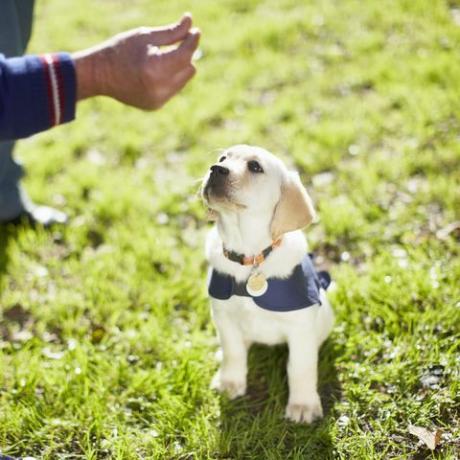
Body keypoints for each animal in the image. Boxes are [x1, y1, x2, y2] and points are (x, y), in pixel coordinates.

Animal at [201, 145, 334, 424]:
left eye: (255, 167)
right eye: (222, 158)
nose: (215, 169)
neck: (249, 256)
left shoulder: (300, 327)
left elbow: (300, 367)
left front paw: (303, 405)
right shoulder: (223, 315)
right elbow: (233, 351)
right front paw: (230, 382)